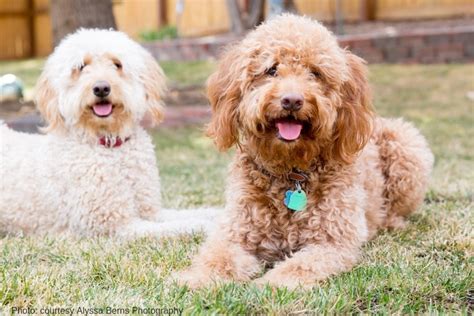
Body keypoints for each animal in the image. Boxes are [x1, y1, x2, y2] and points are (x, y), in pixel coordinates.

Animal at [0, 29, 214, 237]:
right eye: (81, 67)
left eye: (117, 64)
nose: (101, 88)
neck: (110, 145)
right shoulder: (116, 225)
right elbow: (183, 225)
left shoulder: (152, 210)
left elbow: (193, 214)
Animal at [177, 16, 434, 290]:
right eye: (272, 69)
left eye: (315, 73)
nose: (292, 100)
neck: (291, 172)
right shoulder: (235, 233)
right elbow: (217, 257)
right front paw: (195, 278)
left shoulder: (332, 242)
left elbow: (298, 267)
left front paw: (267, 286)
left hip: (406, 145)